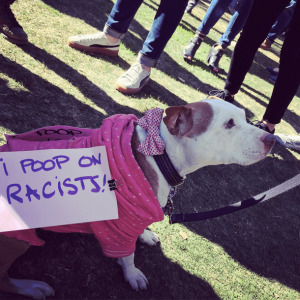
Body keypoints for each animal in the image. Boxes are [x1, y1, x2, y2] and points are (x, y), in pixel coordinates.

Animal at [0, 98, 276, 298]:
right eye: (229, 124)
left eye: (245, 117)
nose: (272, 138)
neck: (160, 156)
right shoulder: (119, 228)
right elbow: (127, 254)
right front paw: (131, 274)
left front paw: (144, 235)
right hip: (17, 238)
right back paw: (31, 287)